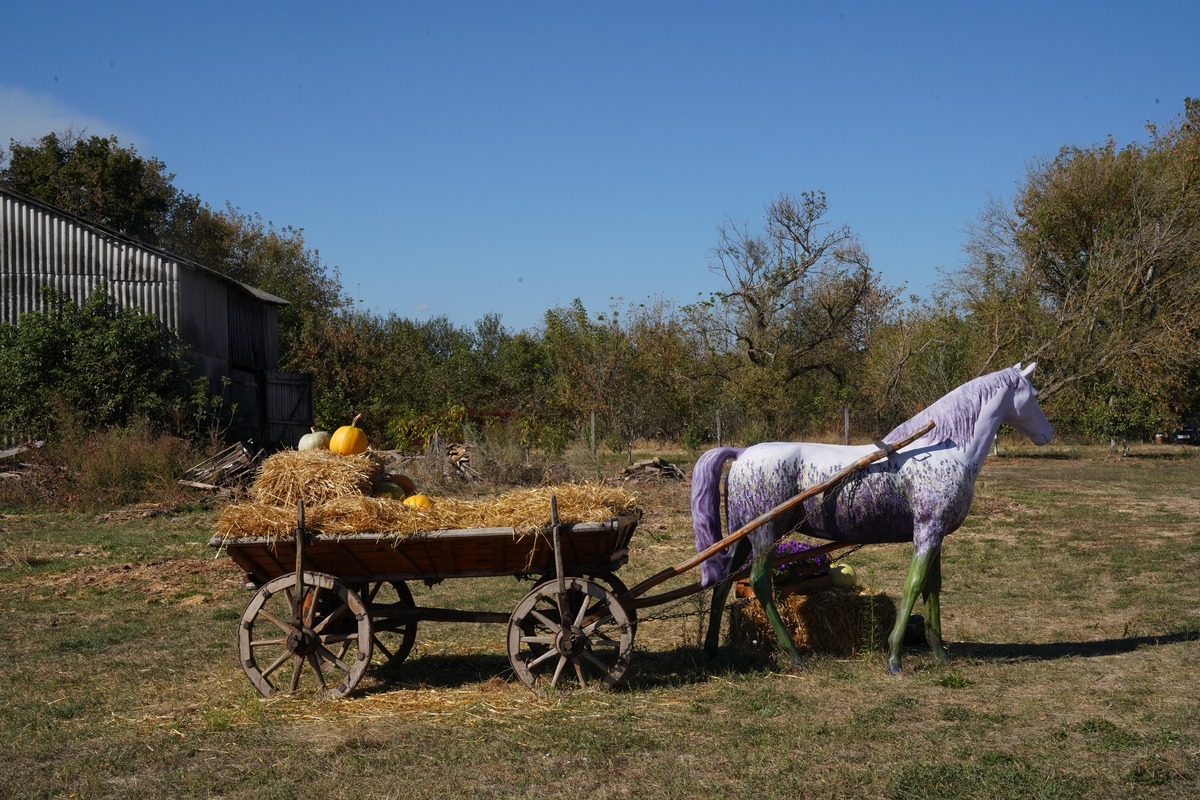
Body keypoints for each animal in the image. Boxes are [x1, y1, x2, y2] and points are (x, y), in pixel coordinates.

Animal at [691, 363, 1054, 673]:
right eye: (1033, 395)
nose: (1048, 434)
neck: (943, 450)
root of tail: (742, 454)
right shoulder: (927, 531)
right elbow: (914, 584)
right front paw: (894, 657)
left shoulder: (935, 535)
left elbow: (932, 588)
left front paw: (939, 652)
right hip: (765, 536)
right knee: (758, 583)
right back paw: (794, 654)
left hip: (744, 536)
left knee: (724, 582)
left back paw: (711, 650)